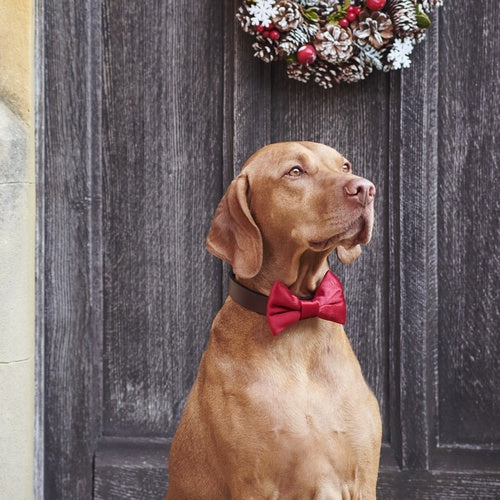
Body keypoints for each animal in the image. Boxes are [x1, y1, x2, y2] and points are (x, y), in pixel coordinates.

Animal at [166, 141, 380, 500]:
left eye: (346, 166)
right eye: (295, 171)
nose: (366, 189)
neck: (299, 320)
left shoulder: (362, 481)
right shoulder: (255, 485)